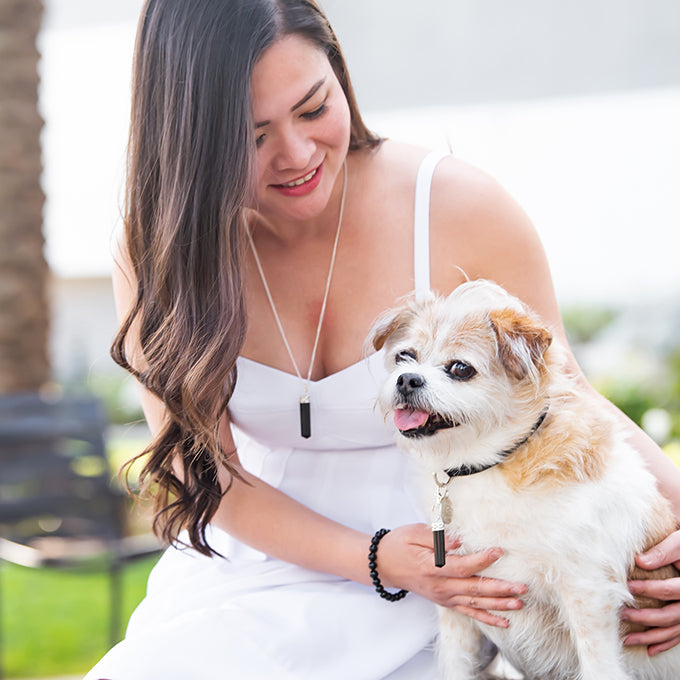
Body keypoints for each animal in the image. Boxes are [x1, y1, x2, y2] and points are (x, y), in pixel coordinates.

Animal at [372, 280, 680, 680]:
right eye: (404, 356)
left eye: (460, 368)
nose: (407, 379)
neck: (492, 463)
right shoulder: (455, 601)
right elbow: (456, 663)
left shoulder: (589, 596)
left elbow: (598, 664)